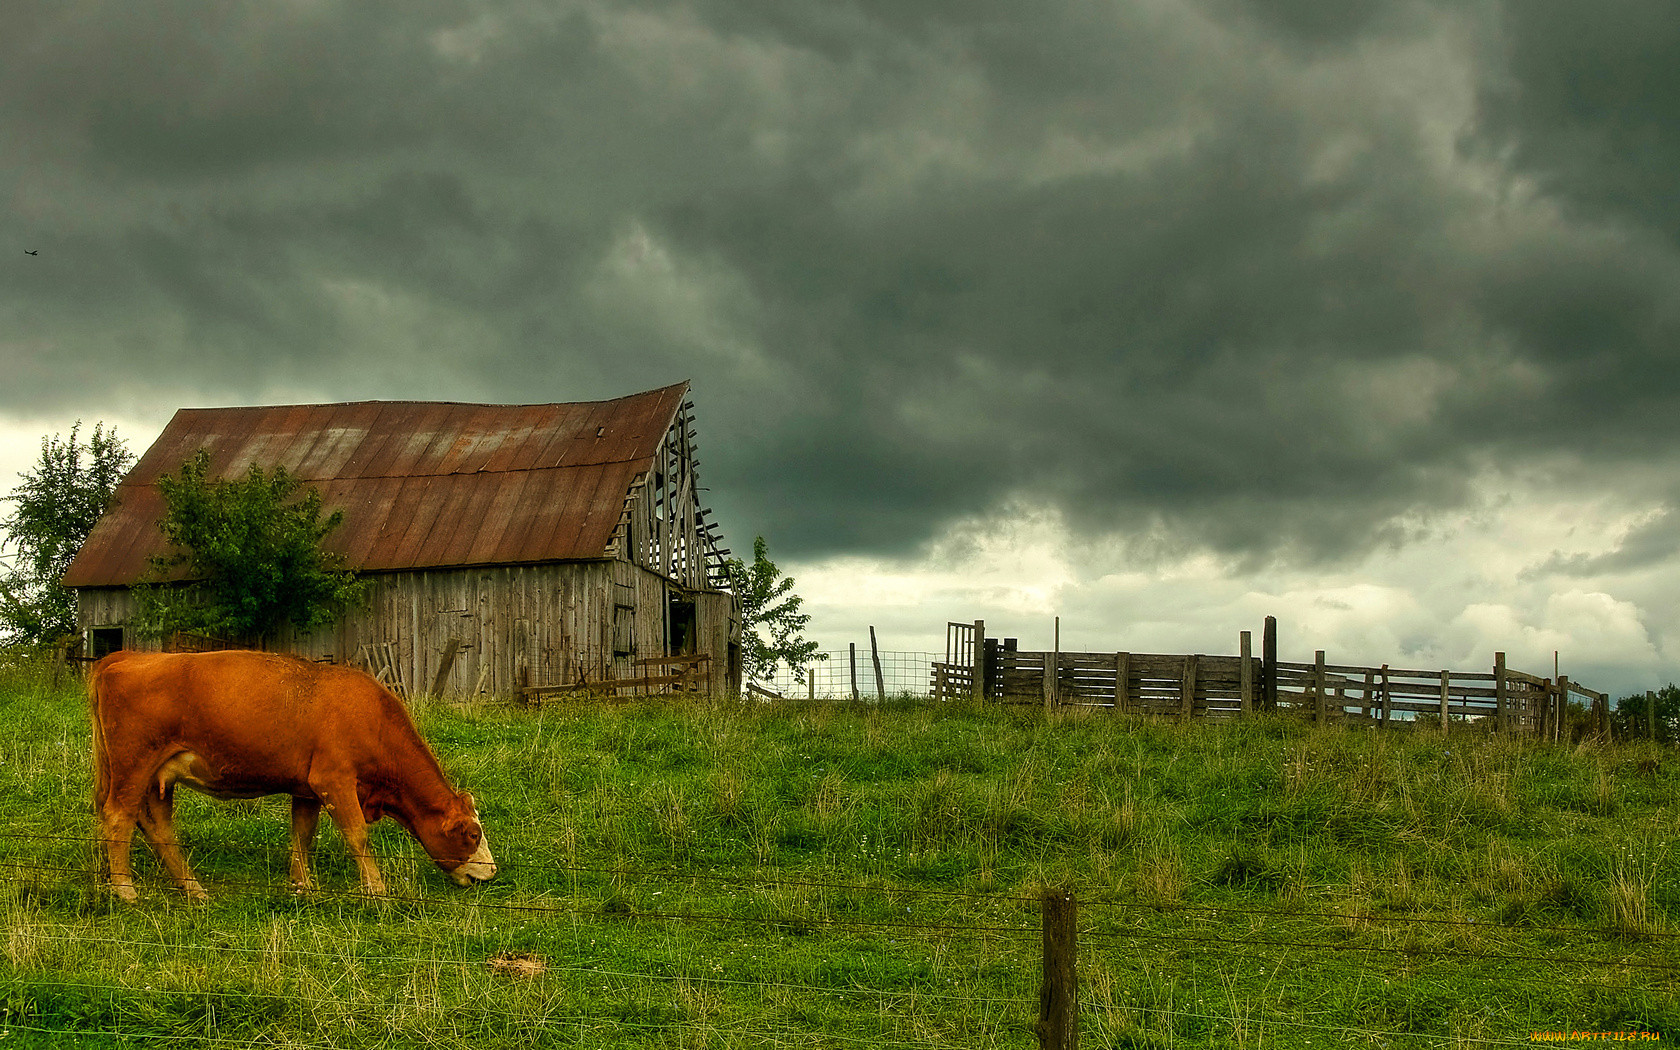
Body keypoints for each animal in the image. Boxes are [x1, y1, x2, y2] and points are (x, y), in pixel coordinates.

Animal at [86, 648, 490, 900]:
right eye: (471, 834)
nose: (491, 873)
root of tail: (125, 656)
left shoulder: (306, 789)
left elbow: (302, 836)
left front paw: (303, 886)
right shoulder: (334, 781)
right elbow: (358, 836)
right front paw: (376, 890)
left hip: (157, 777)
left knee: (157, 827)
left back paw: (192, 889)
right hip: (133, 765)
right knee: (118, 817)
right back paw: (125, 890)